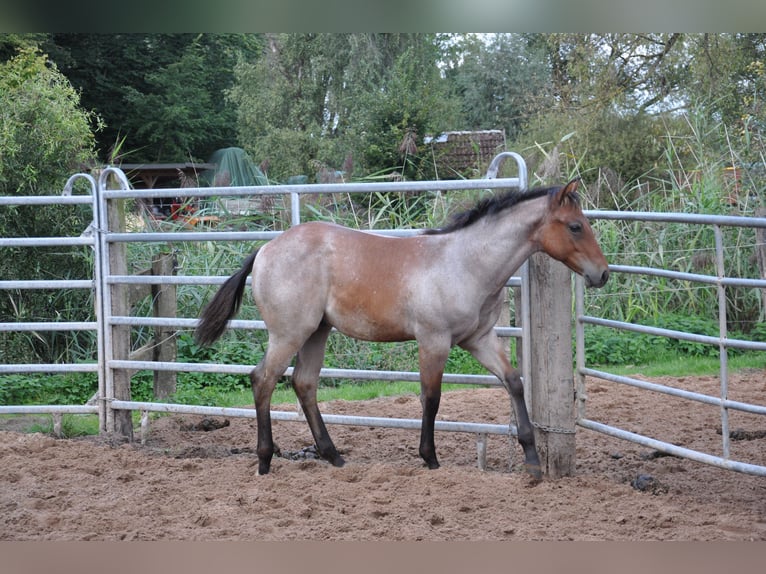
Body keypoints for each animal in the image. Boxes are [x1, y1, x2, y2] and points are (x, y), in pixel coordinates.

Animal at [195, 178, 609, 479]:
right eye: (575, 226)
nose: (602, 274)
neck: (464, 262)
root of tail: (264, 250)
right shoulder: (434, 341)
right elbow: (431, 397)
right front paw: (430, 458)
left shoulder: (479, 340)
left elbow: (514, 383)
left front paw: (532, 459)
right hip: (288, 334)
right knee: (263, 380)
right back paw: (265, 460)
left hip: (316, 332)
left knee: (304, 383)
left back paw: (333, 456)